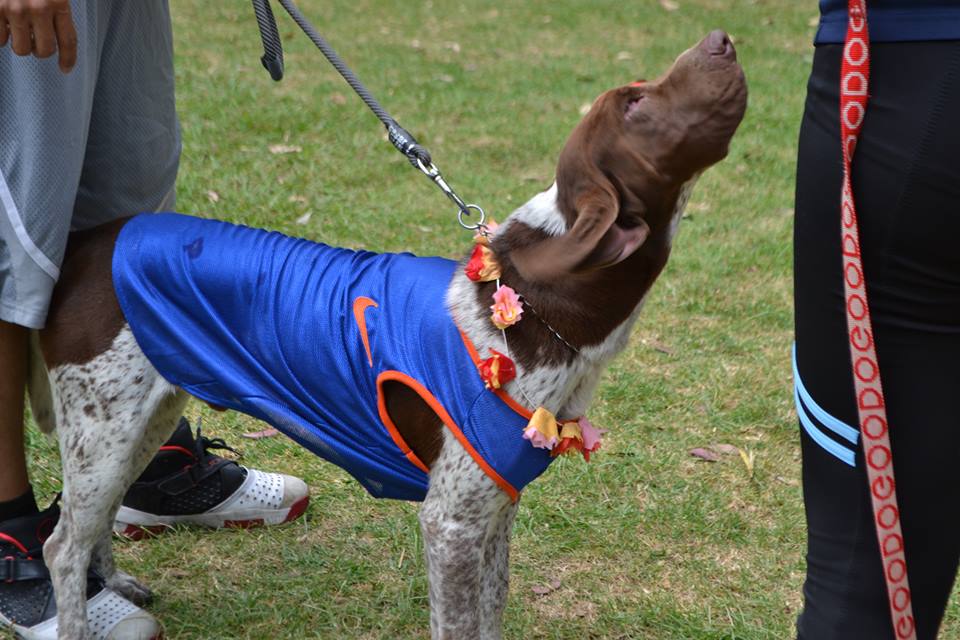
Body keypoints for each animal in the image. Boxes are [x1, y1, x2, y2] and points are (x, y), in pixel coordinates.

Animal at [26, 30, 748, 640]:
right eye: (635, 102)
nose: (721, 38)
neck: (533, 313)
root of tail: (88, 245)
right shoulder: (451, 523)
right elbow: (459, 624)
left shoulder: (495, 508)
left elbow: (490, 615)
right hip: (104, 427)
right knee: (61, 544)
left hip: (142, 418)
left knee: (96, 523)